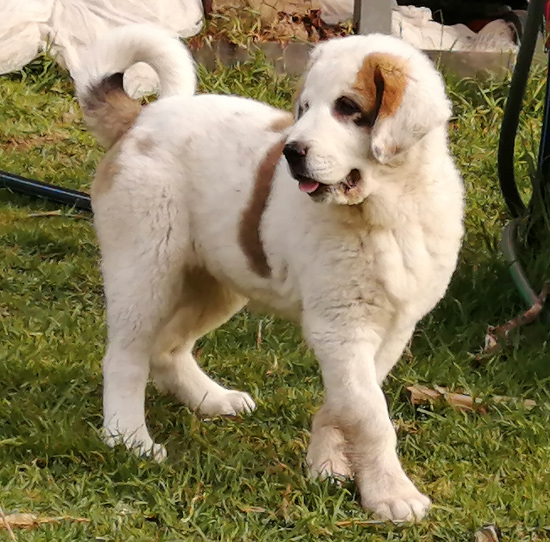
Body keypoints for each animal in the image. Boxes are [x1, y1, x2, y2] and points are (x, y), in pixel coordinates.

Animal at [75, 24, 466, 524]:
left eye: (347, 108)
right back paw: (130, 440)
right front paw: (391, 494)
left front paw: (327, 466)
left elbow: (349, 402)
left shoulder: (392, 327)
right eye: (305, 108)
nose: (292, 152)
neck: (388, 210)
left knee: (167, 349)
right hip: (145, 267)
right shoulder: (340, 328)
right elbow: (370, 415)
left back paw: (211, 400)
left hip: (216, 280)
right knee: (125, 357)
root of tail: (140, 120)